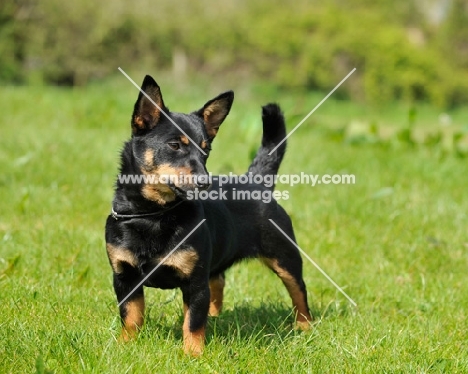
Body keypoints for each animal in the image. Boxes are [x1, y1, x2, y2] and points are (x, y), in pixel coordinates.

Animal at [104, 74, 312, 356]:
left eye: (206, 151)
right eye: (174, 145)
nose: (205, 181)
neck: (154, 215)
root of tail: (256, 181)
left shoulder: (195, 284)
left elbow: (192, 322)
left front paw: (193, 354)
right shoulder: (124, 278)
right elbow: (131, 316)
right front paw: (126, 345)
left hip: (285, 256)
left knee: (299, 291)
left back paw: (305, 327)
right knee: (219, 282)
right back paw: (215, 316)